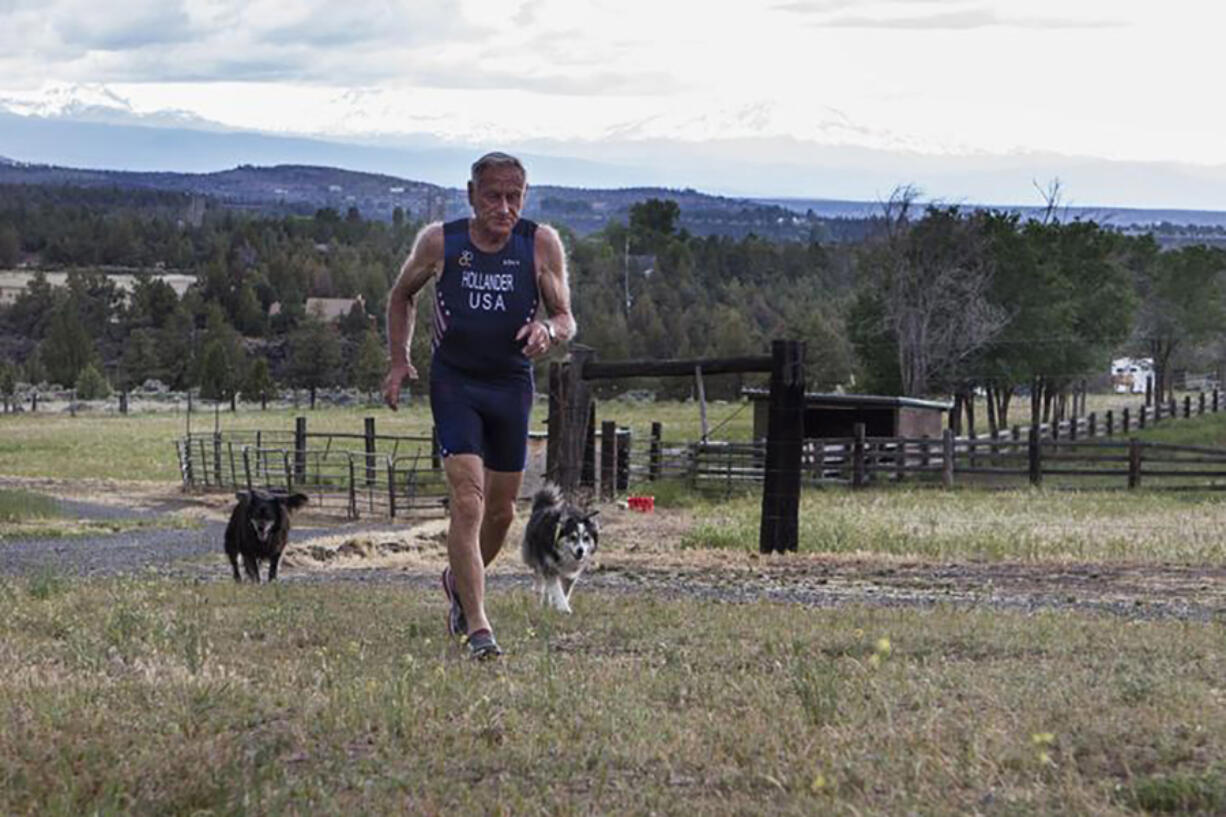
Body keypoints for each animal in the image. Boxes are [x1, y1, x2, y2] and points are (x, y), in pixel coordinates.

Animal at [522, 480, 598, 608]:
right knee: (539, 578)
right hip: (535, 558)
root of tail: (543, 506)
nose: (580, 550)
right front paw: (564, 608)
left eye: (586, 538)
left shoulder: (570, 575)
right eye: (572, 537)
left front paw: (559, 604)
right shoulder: (550, 568)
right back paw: (539, 592)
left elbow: (565, 592)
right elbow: (557, 591)